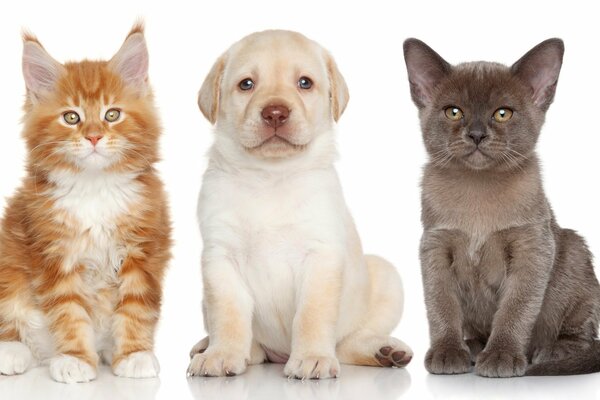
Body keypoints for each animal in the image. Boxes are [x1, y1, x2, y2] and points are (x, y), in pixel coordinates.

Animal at [0, 24, 171, 382]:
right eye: (71, 117)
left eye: (112, 114)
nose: (93, 136)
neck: (95, 189)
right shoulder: (55, 256)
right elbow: (69, 312)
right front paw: (75, 359)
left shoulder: (143, 252)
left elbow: (136, 307)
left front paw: (133, 355)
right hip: (8, 267)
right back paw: (12, 352)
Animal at [189, 30, 412, 378]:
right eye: (246, 84)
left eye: (304, 83)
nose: (275, 113)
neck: (270, 176)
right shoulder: (220, 258)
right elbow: (227, 314)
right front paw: (221, 354)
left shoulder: (321, 257)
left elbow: (311, 315)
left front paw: (312, 358)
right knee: (253, 347)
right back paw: (212, 347)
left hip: (387, 276)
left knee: (347, 343)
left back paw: (384, 351)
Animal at [404, 38, 600, 378]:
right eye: (454, 112)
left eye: (503, 114)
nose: (477, 135)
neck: (477, 193)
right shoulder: (435, 248)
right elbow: (441, 307)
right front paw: (447, 352)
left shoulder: (532, 249)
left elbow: (514, 309)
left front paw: (502, 356)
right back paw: (471, 347)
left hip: (573, 249)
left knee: (582, 334)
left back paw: (550, 352)